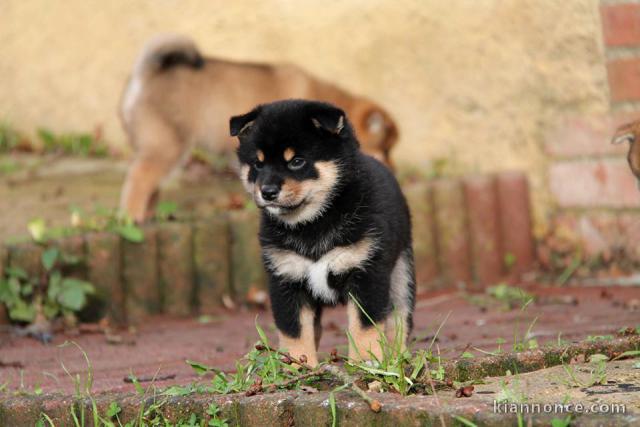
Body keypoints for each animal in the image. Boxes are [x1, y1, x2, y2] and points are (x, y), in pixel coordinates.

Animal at [118, 33, 398, 222]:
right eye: (385, 150)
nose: (393, 171)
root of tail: (146, 75)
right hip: (167, 144)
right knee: (140, 178)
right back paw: (132, 217)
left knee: (151, 183)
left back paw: (148, 215)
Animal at [230, 99, 416, 364]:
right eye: (258, 164)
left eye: (297, 161)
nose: (267, 192)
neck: (313, 223)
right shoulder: (286, 279)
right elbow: (295, 331)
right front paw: (298, 364)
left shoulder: (366, 272)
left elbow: (365, 325)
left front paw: (365, 361)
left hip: (401, 273)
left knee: (399, 320)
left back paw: (397, 358)